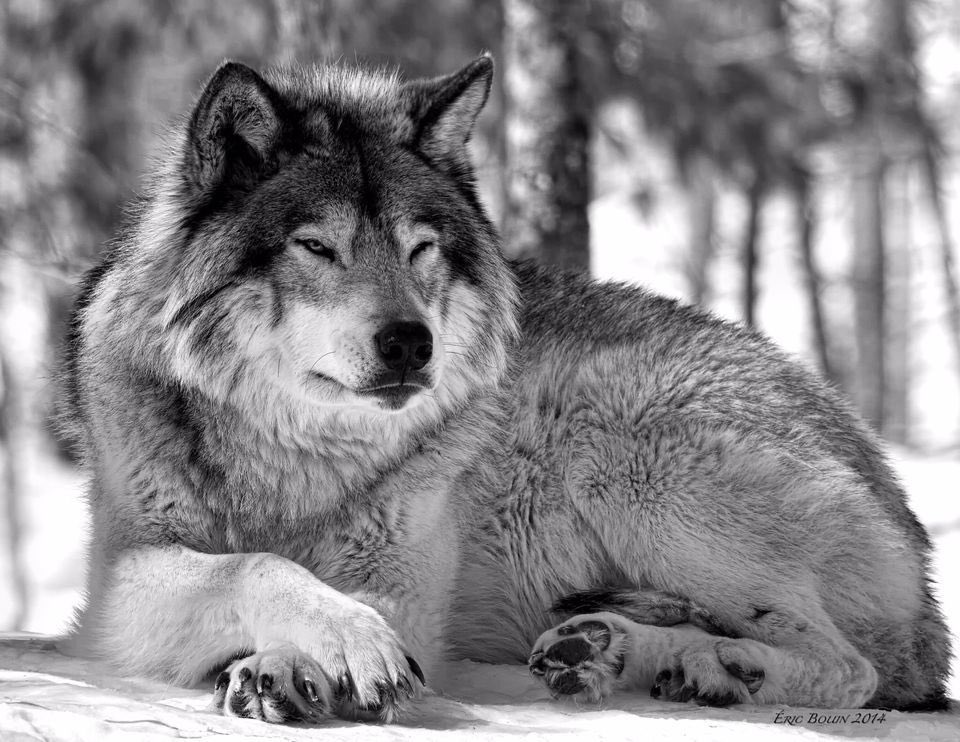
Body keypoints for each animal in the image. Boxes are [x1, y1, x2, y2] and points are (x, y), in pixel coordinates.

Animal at [59, 55, 951, 723]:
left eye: (420, 248)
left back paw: (716, 666)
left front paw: (304, 660)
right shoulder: (118, 580)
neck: (295, 461)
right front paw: (309, 654)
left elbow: (321, 593)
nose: (409, 342)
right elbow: (256, 566)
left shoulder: (404, 583)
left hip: (627, 456)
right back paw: (610, 653)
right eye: (316, 246)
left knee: (855, 669)